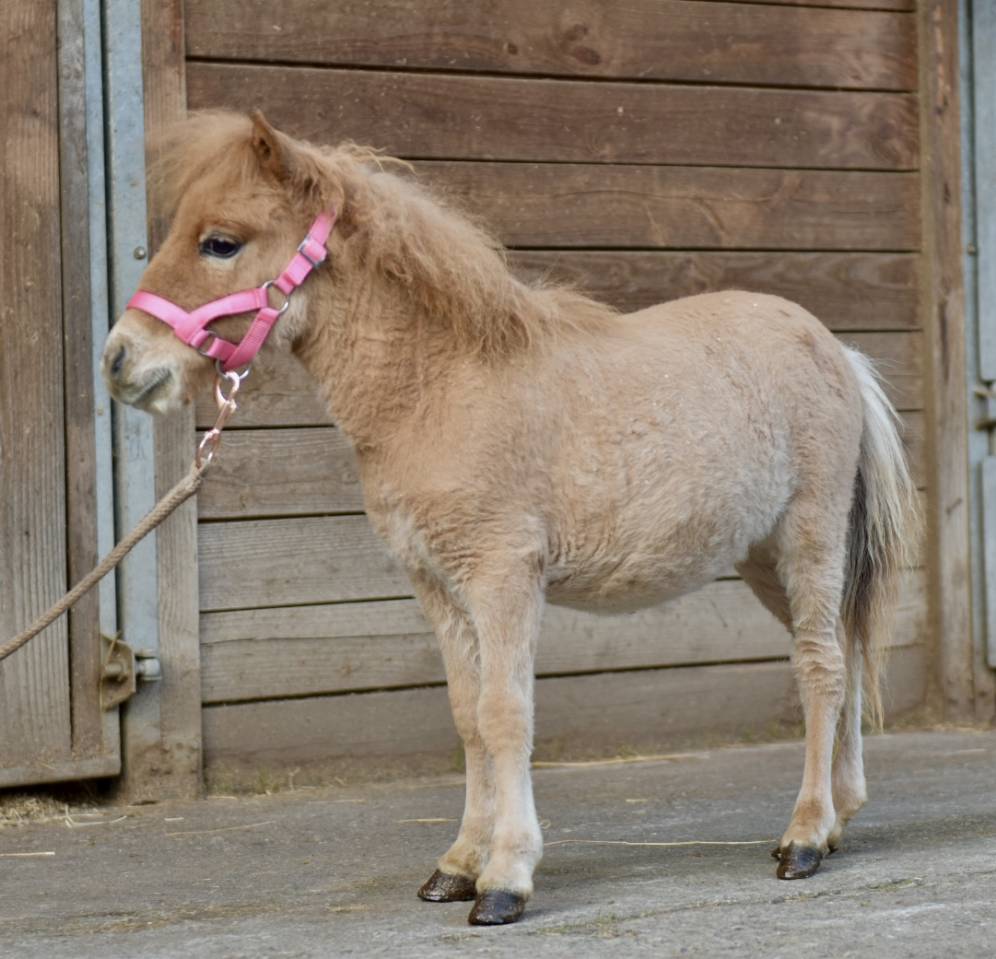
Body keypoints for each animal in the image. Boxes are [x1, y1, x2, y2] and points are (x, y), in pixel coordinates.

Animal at [102, 110, 918, 926]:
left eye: (220, 241)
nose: (119, 361)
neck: (439, 387)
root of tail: (836, 350)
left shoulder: (503, 575)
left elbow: (505, 714)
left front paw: (505, 879)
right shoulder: (437, 583)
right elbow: (467, 715)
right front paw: (458, 865)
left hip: (809, 539)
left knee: (819, 668)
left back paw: (804, 836)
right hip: (762, 561)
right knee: (843, 655)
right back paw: (839, 816)